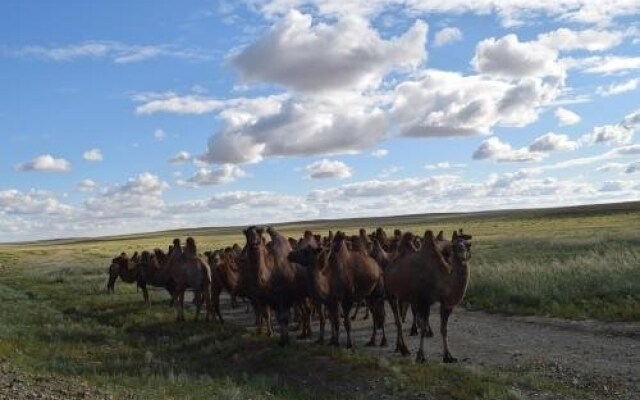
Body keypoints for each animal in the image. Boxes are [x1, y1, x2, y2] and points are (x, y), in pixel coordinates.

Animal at [384, 230, 470, 364]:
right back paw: (404, 349)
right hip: (390, 293)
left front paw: (448, 356)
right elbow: (423, 328)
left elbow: (444, 329)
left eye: (467, 245)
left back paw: (400, 348)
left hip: (403, 296)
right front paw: (420, 356)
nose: (462, 254)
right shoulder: (423, 301)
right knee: (398, 321)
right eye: (454, 246)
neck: (442, 280)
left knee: (399, 319)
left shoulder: (445, 304)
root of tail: (388, 268)